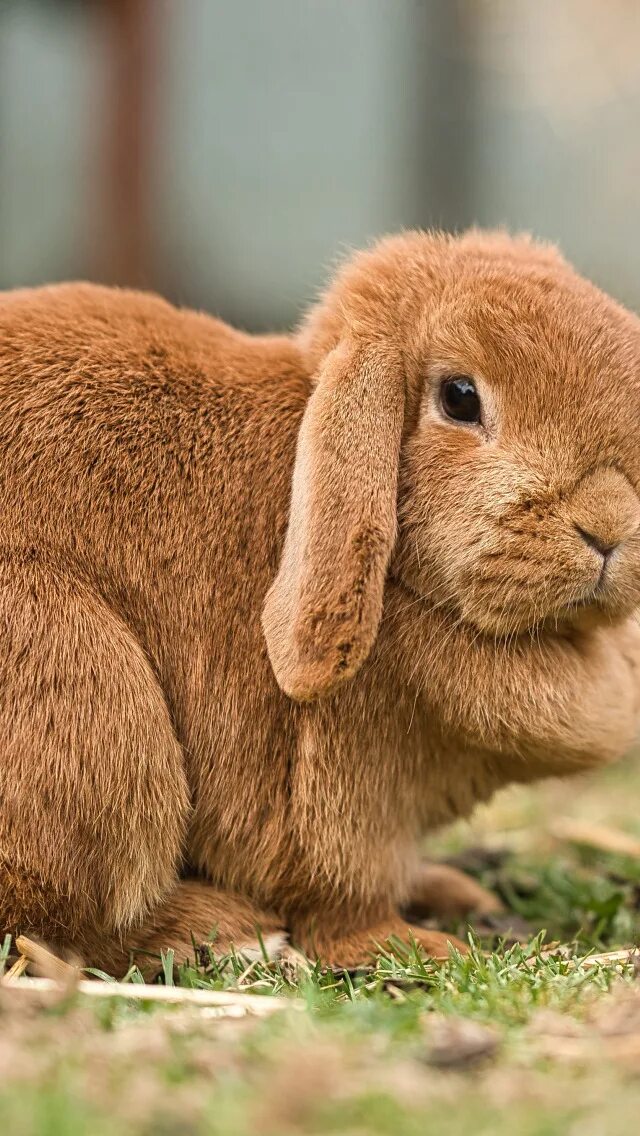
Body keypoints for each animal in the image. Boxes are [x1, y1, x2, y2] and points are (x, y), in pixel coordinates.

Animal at [2, 228, 640, 975]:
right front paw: (415, 946)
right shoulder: (342, 797)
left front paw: (450, 894)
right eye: (459, 398)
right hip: (89, 693)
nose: (609, 526)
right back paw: (217, 928)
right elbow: (342, 896)